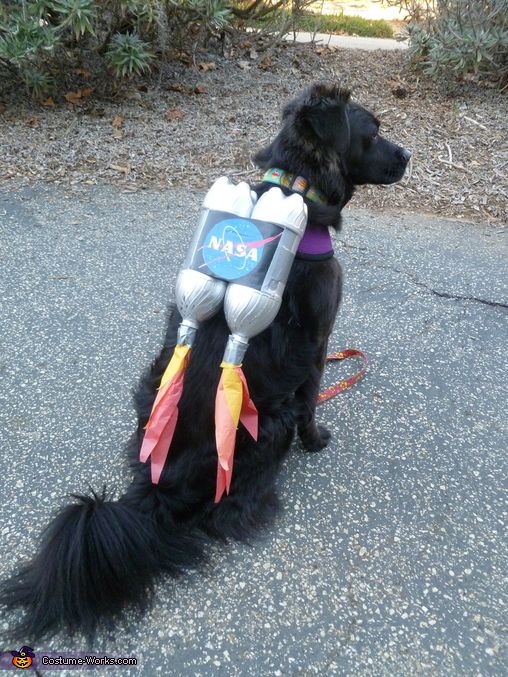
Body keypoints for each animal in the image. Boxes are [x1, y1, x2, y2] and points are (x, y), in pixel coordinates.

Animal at [0, 82, 410, 636]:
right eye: (373, 131)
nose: (407, 156)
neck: (298, 185)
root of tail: (158, 489)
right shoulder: (320, 341)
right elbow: (311, 402)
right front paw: (318, 441)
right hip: (266, 425)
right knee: (228, 508)